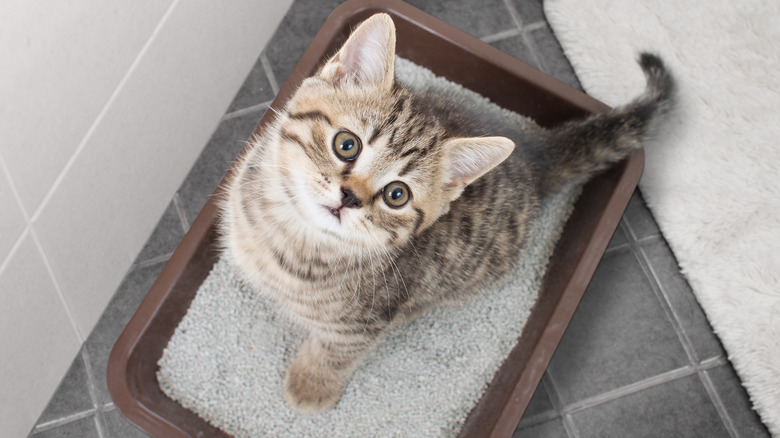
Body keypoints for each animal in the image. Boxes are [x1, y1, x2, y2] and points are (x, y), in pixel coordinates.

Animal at [222, 12, 672, 412]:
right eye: (346, 144)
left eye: (397, 195)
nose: (350, 197)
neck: (289, 233)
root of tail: (532, 157)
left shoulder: (364, 321)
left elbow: (336, 351)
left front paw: (312, 384)